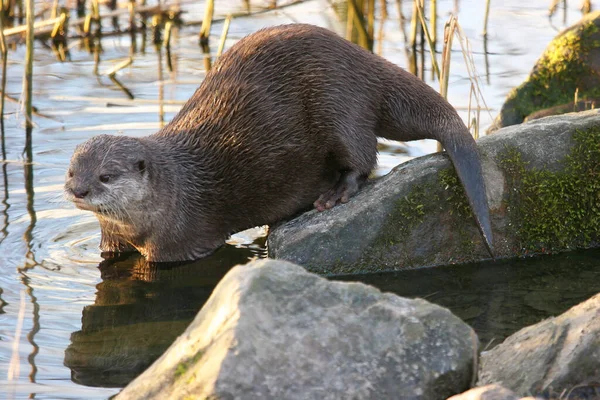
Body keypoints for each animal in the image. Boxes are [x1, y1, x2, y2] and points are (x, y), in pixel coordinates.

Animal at [68, 24, 494, 262]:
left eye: (106, 176)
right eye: (72, 171)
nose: (78, 190)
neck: (175, 190)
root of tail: (363, 61)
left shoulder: (180, 242)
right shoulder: (110, 239)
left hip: (340, 101)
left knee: (362, 156)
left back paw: (334, 195)